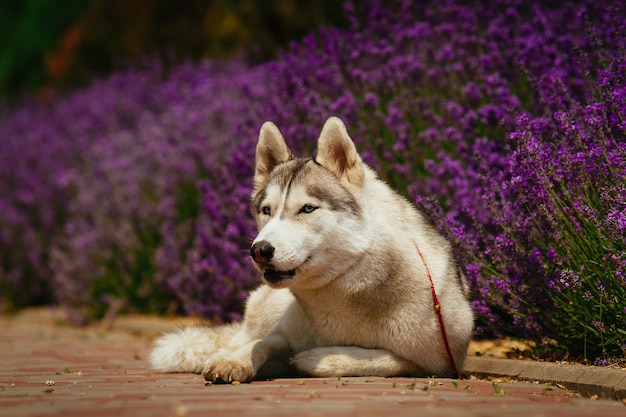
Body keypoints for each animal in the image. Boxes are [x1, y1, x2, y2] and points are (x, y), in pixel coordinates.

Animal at [150, 116, 472, 380]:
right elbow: (260, 344)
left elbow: (385, 360)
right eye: (266, 211)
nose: (259, 250)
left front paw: (318, 359)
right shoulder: (281, 332)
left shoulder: (439, 363)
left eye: (307, 208)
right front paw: (235, 361)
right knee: (239, 338)